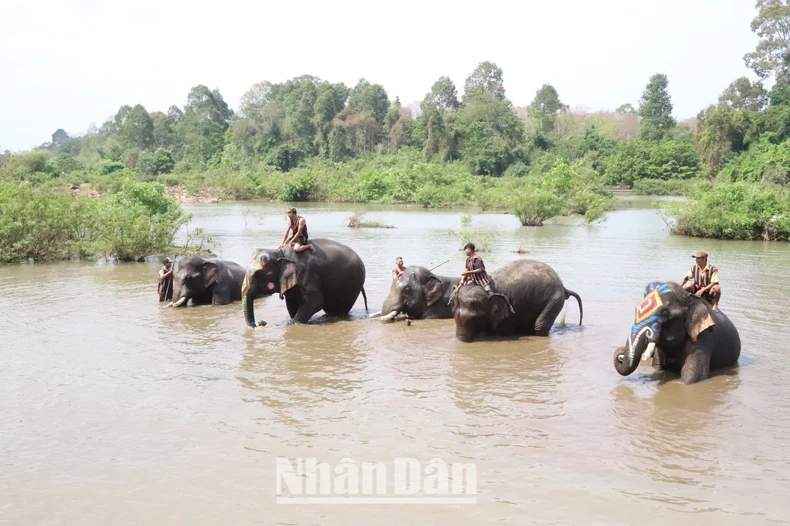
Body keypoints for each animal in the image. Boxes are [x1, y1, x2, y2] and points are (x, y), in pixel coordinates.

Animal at [452, 260, 580, 344]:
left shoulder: (508, 312)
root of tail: (563, 287)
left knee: (540, 325)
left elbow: (503, 331)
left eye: (474, 318)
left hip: (555, 300)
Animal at [612, 282, 744, 386]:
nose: (620, 355)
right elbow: (657, 367)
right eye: (636, 310)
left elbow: (692, 378)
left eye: (664, 313)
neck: (690, 299)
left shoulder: (703, 337)